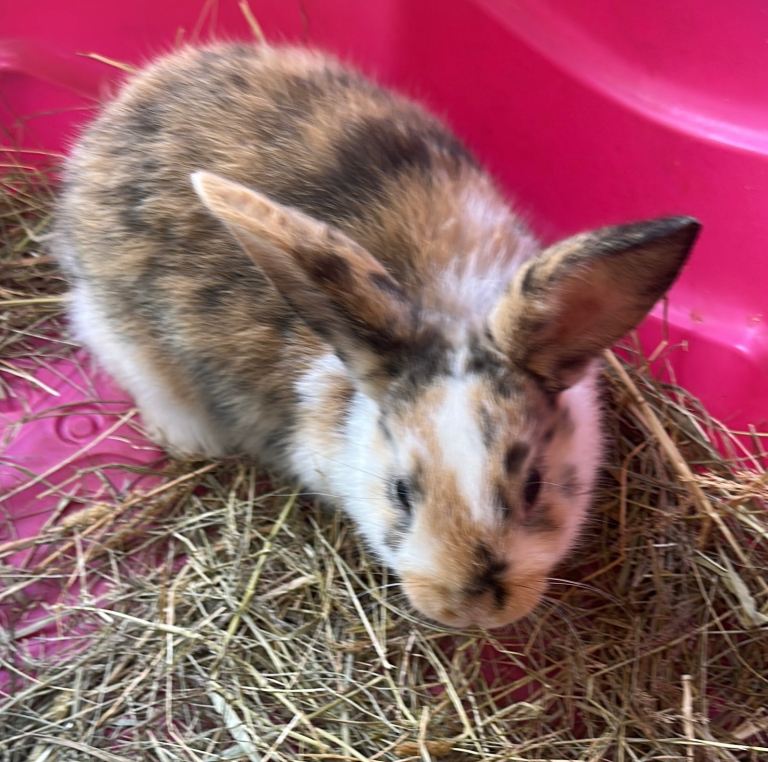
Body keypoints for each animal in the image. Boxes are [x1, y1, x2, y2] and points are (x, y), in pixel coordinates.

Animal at [52, 42, 700, 629]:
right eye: (400, 493)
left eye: (535, 486)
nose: (469, 608)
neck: (451, 310)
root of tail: (127, 103)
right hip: (118, 330)